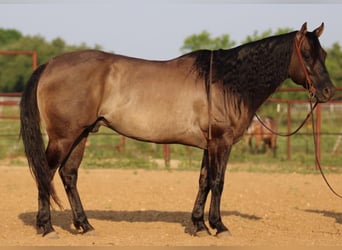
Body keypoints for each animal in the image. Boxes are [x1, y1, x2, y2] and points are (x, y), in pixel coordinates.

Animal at [20, 23, 336, 238]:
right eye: (306, 55)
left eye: (324, 53)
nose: (329, 92)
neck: (227, 81)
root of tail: (50, 64)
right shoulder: (222, 143)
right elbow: (218, 181)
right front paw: (219, 226)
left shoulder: (210, 145)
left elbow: (204, 181)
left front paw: (198, 225)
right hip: (64, 137)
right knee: (46, 173)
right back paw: (47, 227)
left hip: (81, 135)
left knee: (68, 175)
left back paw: (85, 225)